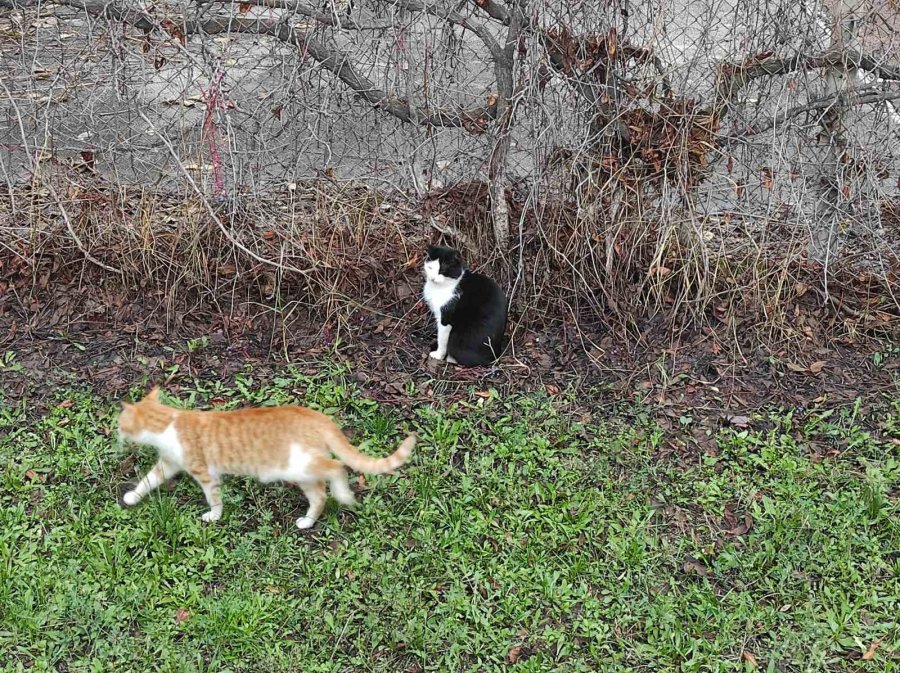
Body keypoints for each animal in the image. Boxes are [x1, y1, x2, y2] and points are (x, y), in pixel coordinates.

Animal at [116, 388, 418, 532]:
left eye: (119, 423)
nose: (115, 433)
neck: (167, 423)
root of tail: (317, 416)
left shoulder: (204, 472)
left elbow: (214, 497)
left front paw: (214, 516)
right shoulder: (168, 464)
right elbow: (148, 480)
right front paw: (133, 496)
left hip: (296, 465)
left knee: (337, 468)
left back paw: (343, 495)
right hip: (302, 473)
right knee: (320, 494)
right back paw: (308, 521)